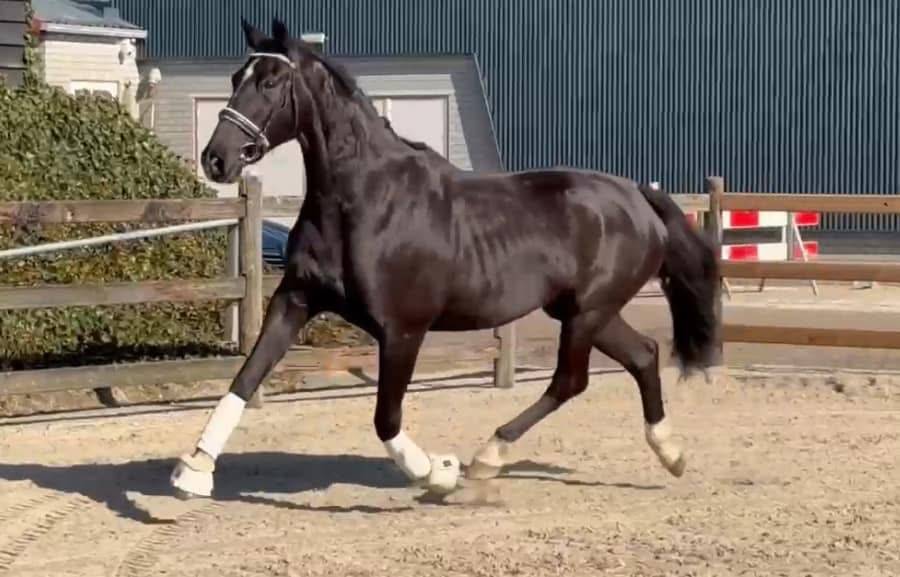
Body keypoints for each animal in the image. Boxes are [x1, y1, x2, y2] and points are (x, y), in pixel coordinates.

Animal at [170, 18, 720, 498]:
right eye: (235, 78)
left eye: (270, 80)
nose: (216, 159)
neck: (363, 198)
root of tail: (637, 195)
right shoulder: (296, 299)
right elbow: (247, 375)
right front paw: (194, 470)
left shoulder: (402, 330)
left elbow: (386, 418)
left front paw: (438, 473)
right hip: (583, 311)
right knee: (643, 354)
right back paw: (671, 454)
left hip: (588, 311)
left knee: (571, 380)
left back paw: (486, 457)